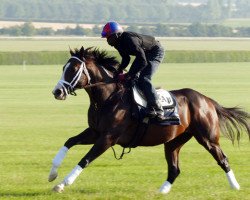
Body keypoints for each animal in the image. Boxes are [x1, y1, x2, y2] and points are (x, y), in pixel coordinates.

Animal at [47, 46, 249, 193]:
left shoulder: (108, 138)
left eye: (73, 69)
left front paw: (62, 184)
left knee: (223, 159)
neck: (108, 97)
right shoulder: (95, 132)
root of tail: (207, 100)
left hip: (208, 138)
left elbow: (85, 159)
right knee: (174, 169)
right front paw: (52, 173)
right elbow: (69, 142)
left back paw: (235, 186)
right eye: (63, 68)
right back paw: (161, 192)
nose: (57, 91)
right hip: (174, 141)